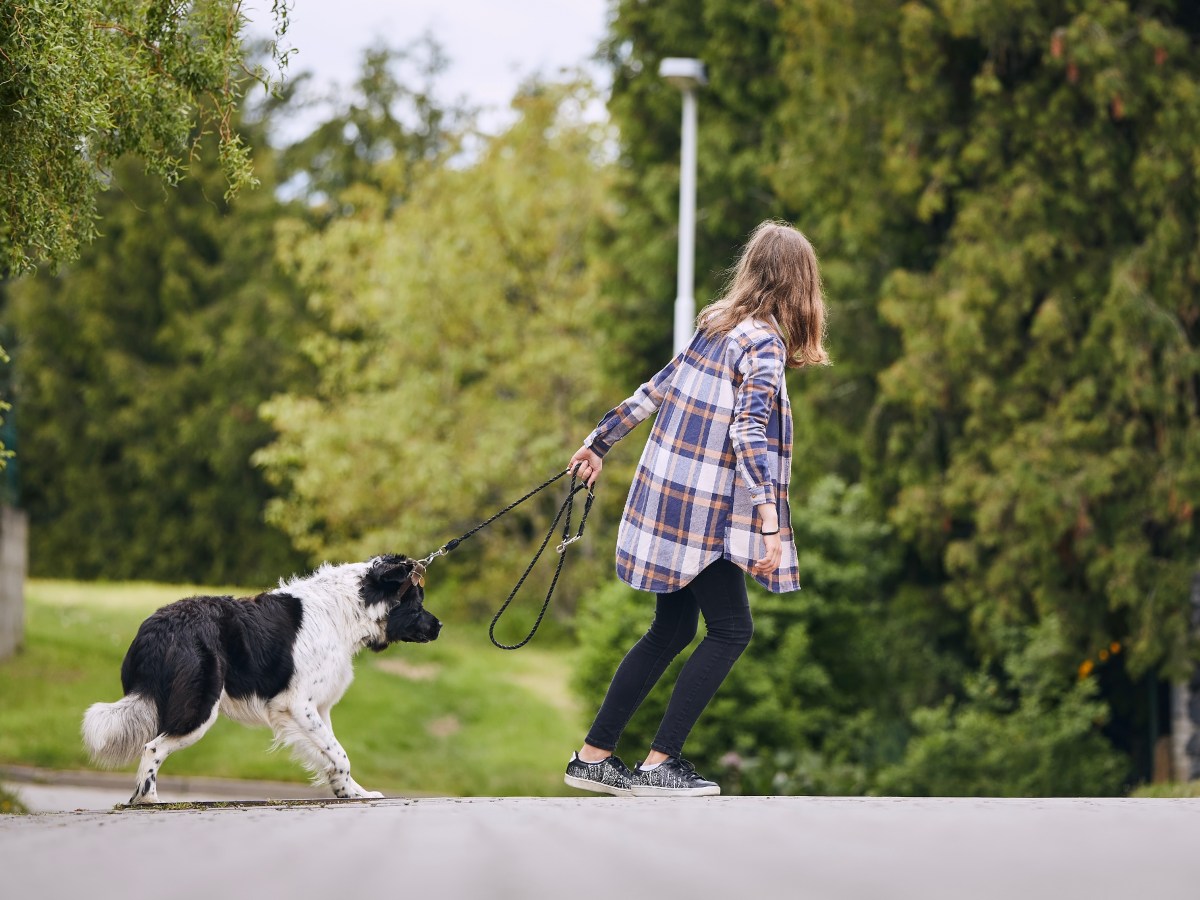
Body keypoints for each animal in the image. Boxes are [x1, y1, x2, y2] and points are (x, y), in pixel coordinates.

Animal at [82, 554, 444, 806]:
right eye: (417, 602)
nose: (439, 626)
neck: (346, 611)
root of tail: (155, 626)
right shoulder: (297, 705)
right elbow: (340, 755)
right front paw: (348, 791)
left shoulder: (317, 709)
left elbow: (334, 754)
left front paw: (352, 792)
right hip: (200, 707)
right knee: (153, 746)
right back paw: (148, 799)